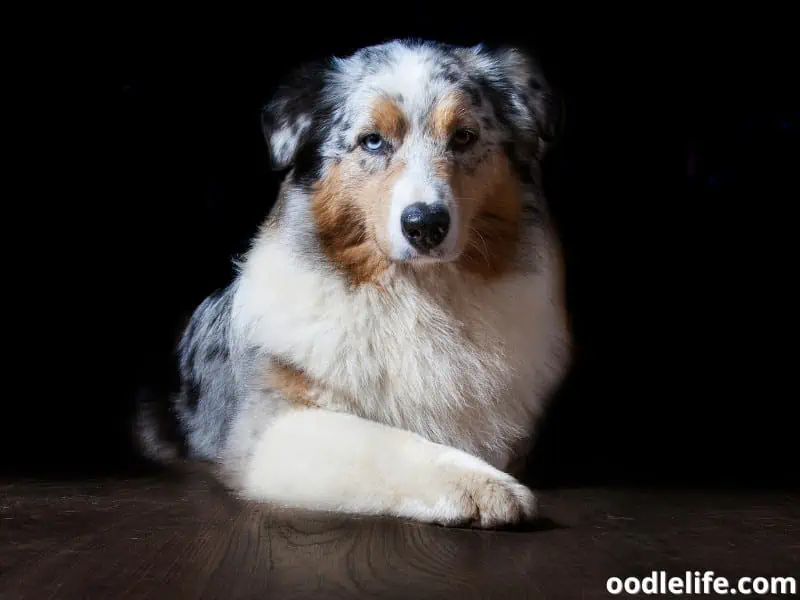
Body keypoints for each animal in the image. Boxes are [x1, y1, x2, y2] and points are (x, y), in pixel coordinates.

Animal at [139, 37, 576, 528]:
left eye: (463, 136)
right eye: (373, 140)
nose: (425, 225)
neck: (417, 295)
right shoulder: (268, 428)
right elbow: (385, 442)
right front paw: (483, 485)